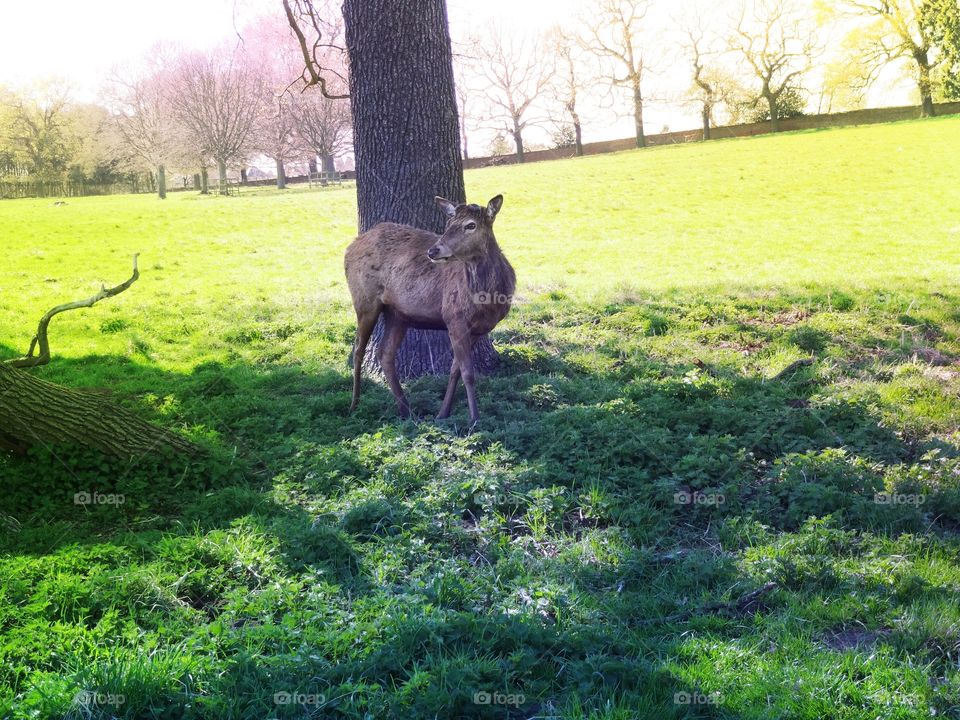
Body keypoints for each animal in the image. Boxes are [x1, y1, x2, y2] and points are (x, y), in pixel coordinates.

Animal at [342, 194, 512, 424]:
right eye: (449, 224)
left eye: (471, 225)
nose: (433, 250)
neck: (488, 299)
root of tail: (349, 246)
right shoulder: (454, 317)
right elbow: (468, 372)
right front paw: (474, 420)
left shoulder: (479, 329)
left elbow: (455, 370)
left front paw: (443, 413)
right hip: (364, 300)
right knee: (359, 349)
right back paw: (354, 405)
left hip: (397, 314)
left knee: (384, 352)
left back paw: (406, 410)